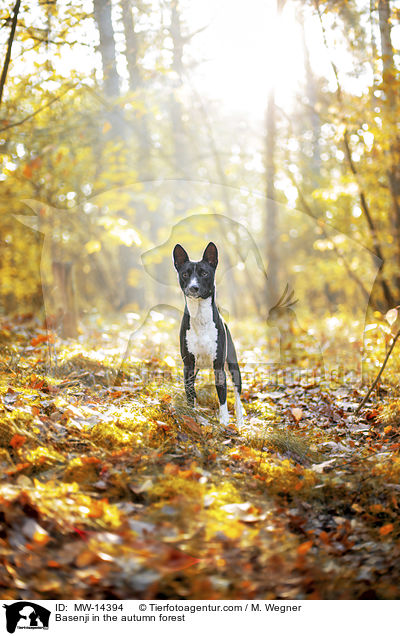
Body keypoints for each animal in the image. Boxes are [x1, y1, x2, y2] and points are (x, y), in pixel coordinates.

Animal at [173, 242, 244, 428]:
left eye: (204, 273)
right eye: (185, 274)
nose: (193, 288)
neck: (200, 317)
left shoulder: (219, 366)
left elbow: (223, 396)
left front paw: (225, 422)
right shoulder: (188, 365)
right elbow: (190, 392)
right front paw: (191, 414)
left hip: (233, 367)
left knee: (238, 395)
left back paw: (240, 421)